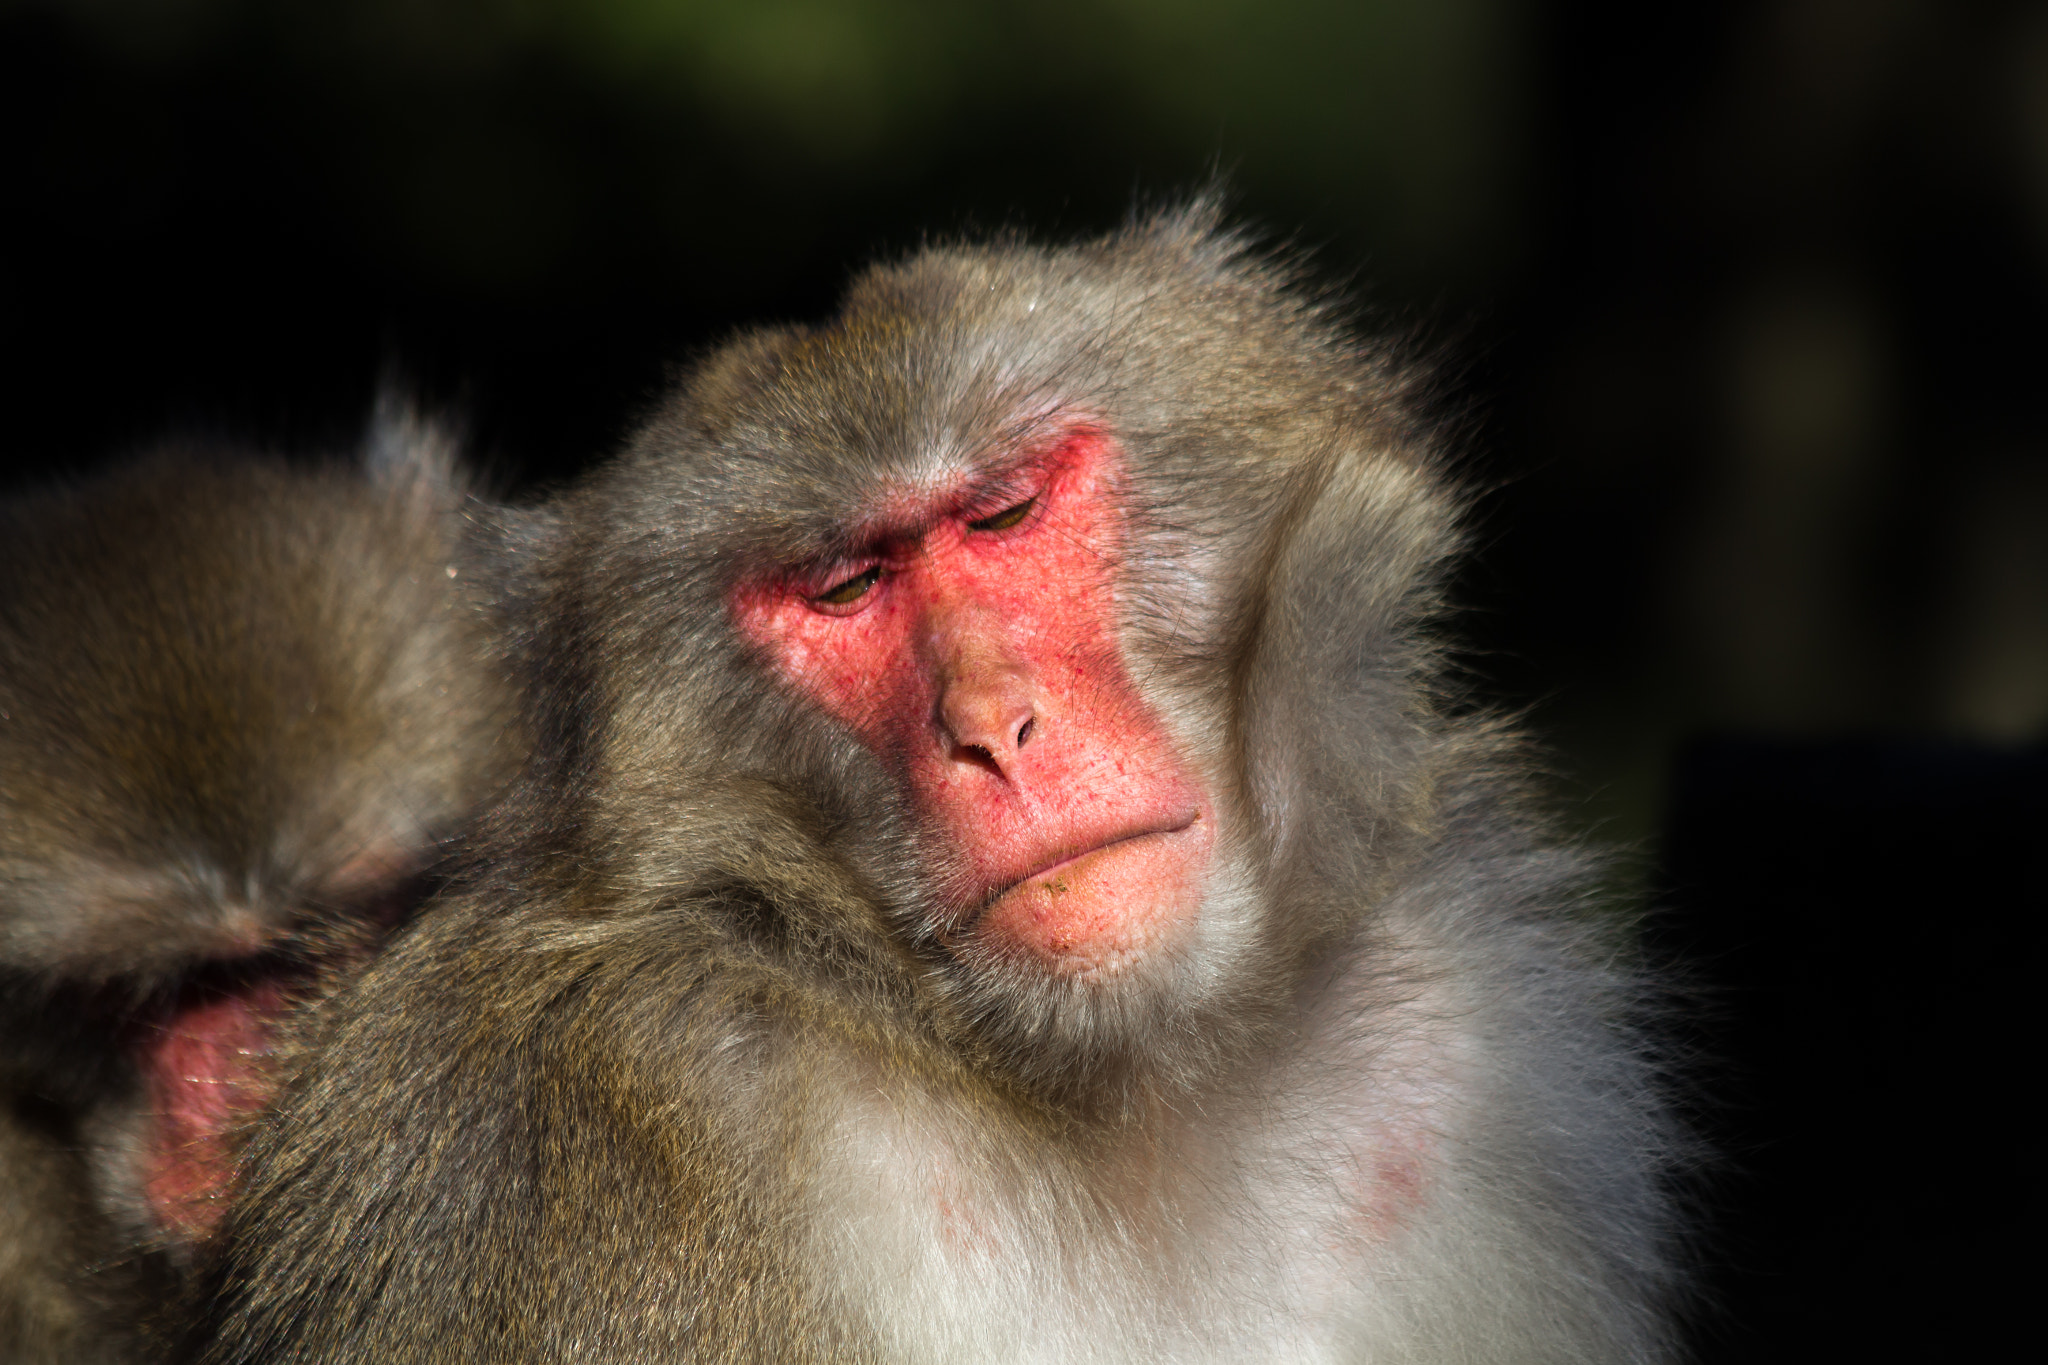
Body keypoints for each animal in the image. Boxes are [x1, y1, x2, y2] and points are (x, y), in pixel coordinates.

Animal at [177, 203, 1685, 1363]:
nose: (992, 730)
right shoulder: (572, 1117)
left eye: (1003, 513)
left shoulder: (1478, 1037)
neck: (1122, 1091)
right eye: (846, 589)